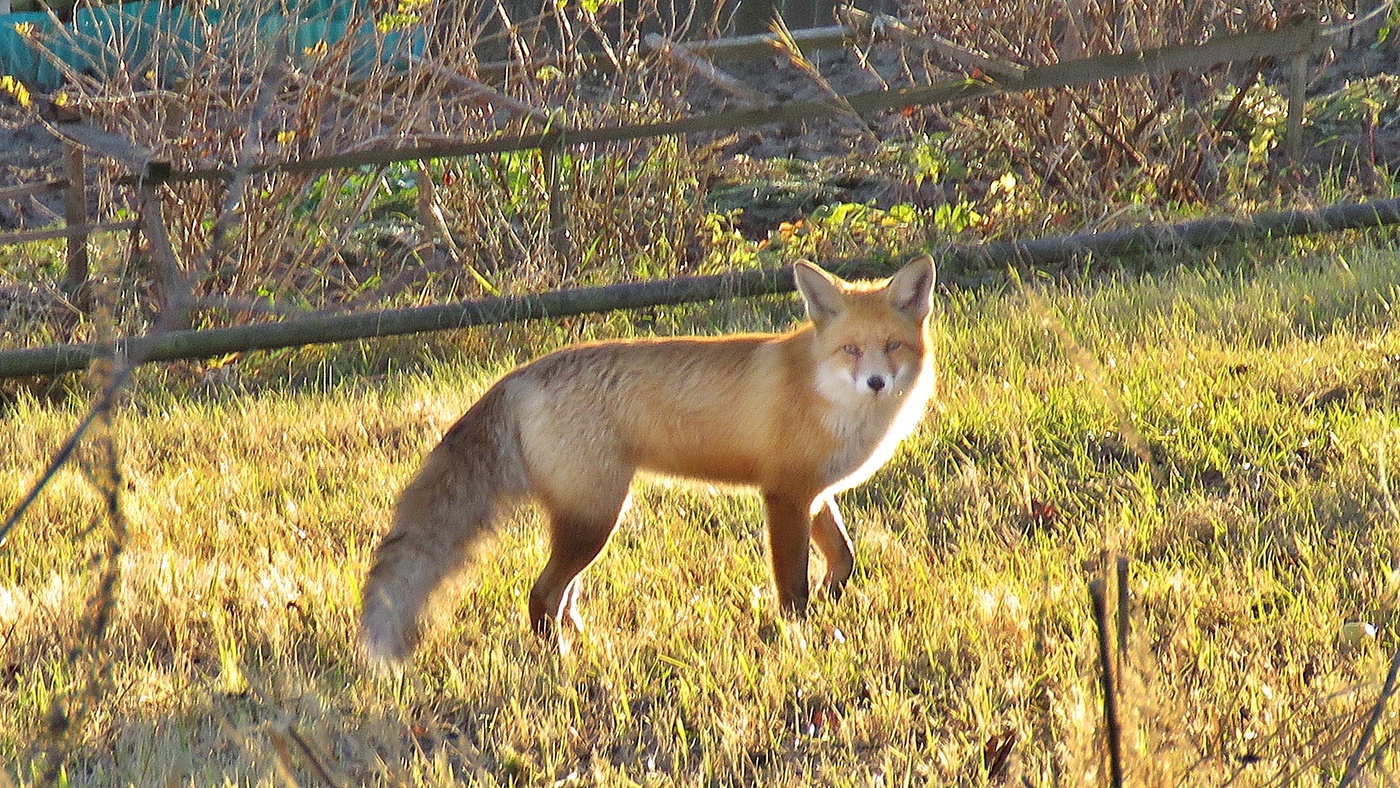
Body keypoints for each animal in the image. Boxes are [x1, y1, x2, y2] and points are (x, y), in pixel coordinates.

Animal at [355, 256, 935, 663]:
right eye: (851, 350)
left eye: (892, 346)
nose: (876, 382)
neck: (824, 393)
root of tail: (520, 373)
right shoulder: (784, 496)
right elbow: (791, 588)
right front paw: (800, 639)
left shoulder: (814, 495)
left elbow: (845, 558)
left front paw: (830, 602)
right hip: (594, 520)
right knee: (540, 595)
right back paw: (558, 659)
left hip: (586, 519)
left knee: (563, 596)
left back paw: (583, 641)